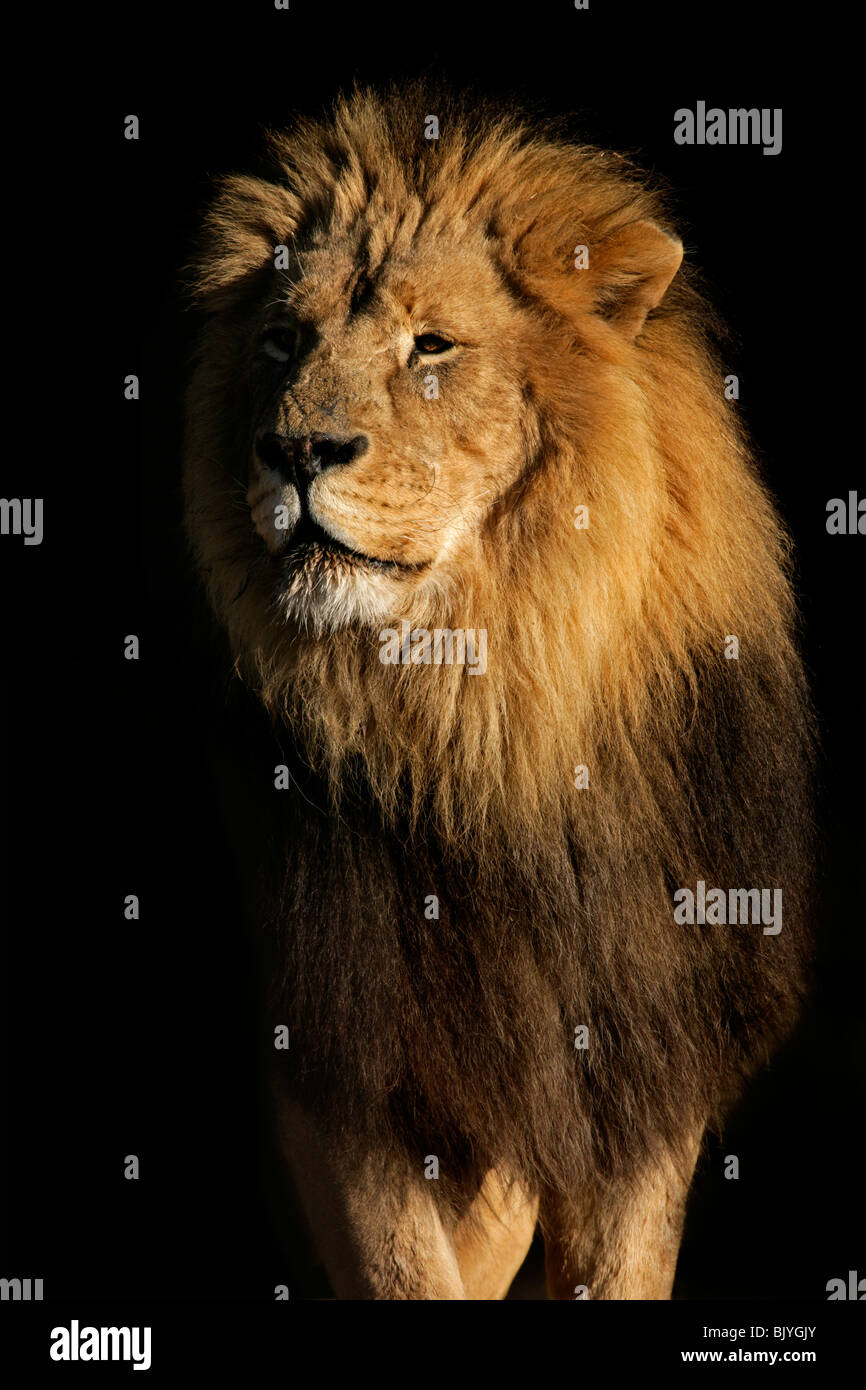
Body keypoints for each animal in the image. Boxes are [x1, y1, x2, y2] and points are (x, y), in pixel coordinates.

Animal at [183, 84, 814, 1299]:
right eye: (283, 339)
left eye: (431, 345)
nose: (293, 450)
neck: (488, 720)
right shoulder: (343, 1072)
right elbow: (414, 1273)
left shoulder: (638, 1072)